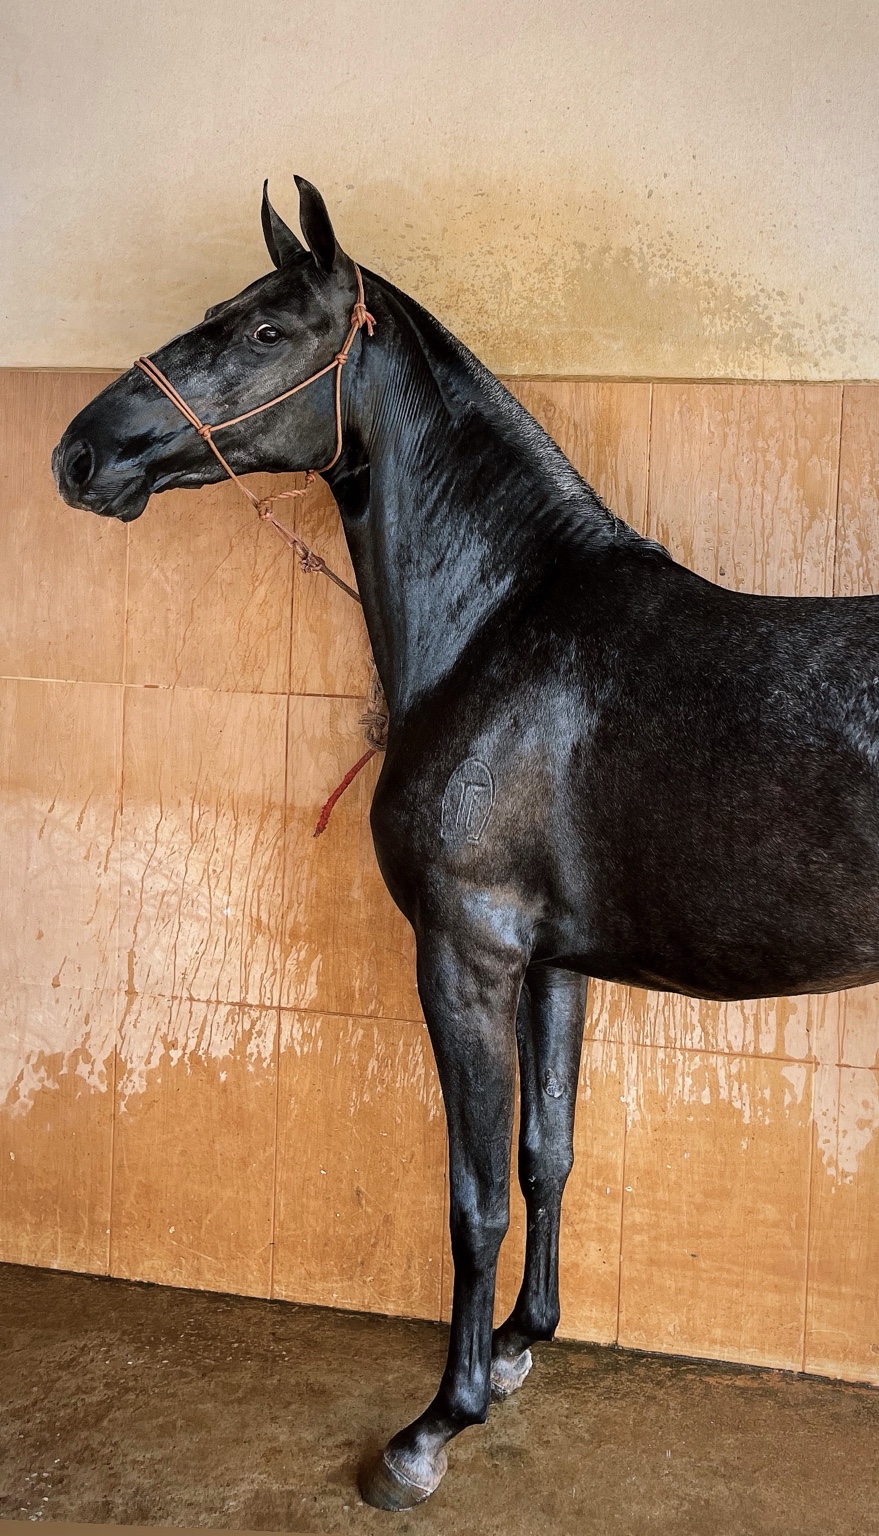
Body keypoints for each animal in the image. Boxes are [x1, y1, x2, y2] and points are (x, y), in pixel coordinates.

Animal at [53, 176, 879, 1510]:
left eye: (266, 329)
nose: (83, 451)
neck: (501, 625)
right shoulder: (551, 966)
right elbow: (547, 1154)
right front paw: (523, 1344)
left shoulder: (466, 955)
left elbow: (473, 1198)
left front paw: (436, 1424)